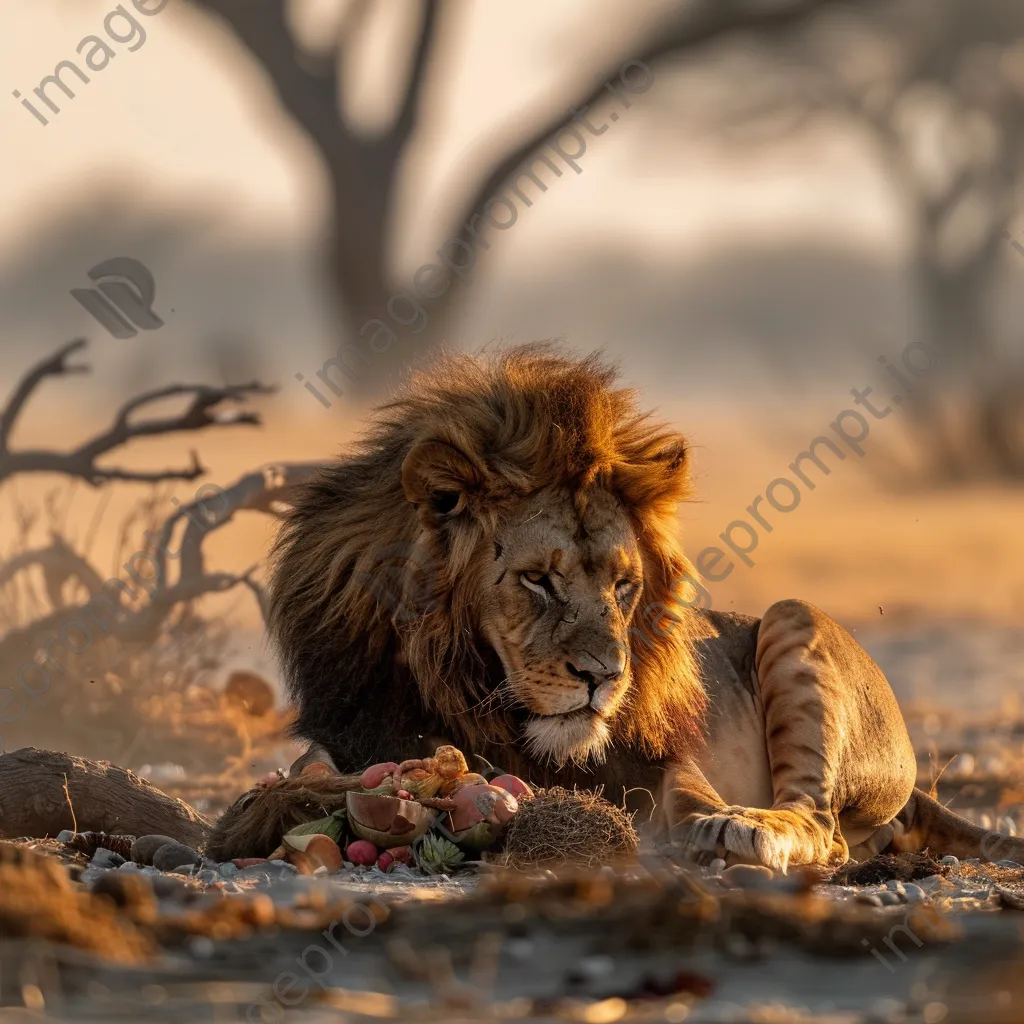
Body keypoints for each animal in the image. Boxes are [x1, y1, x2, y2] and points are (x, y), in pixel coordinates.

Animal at [268, 344, 1019, 872]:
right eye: (537, 579)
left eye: (624, 586)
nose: (603, 677)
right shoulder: (363, 736)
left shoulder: (658, 762)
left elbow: (689, 797)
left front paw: (713, 825)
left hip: (791, 616)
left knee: (822, 825)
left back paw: (751, 827)